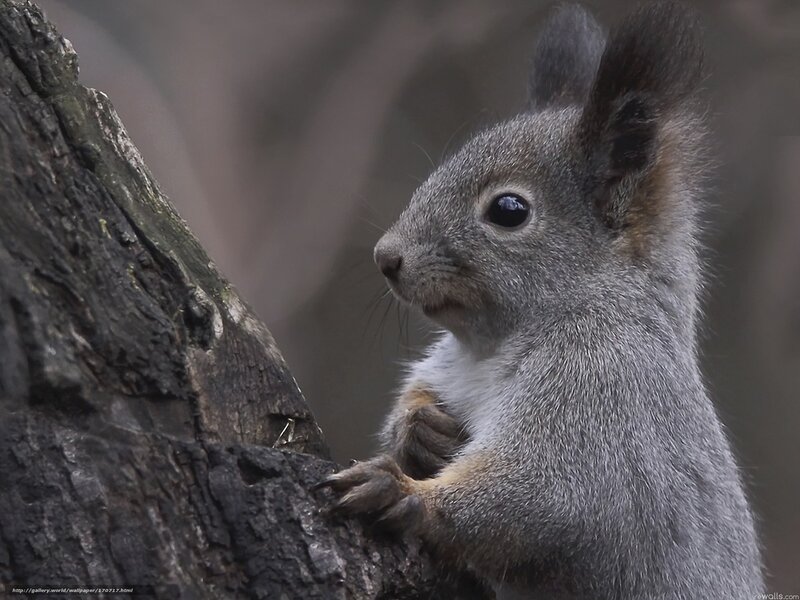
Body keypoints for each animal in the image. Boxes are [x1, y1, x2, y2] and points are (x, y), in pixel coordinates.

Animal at [318, 2, 764, 598]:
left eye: (509, 210)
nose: (386, 257)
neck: (486, 348)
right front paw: (420, 431)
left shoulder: (604, 393)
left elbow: (547, 496)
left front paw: (407, 495)